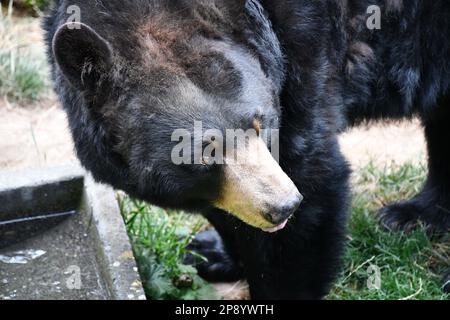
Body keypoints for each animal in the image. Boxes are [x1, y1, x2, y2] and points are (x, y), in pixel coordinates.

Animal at [44, 0, 448, 300]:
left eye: (260, 122)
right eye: (202, 153)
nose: (283, 206)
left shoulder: (306, 58)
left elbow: (311, 177)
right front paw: (212, 253)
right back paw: (417, 215)